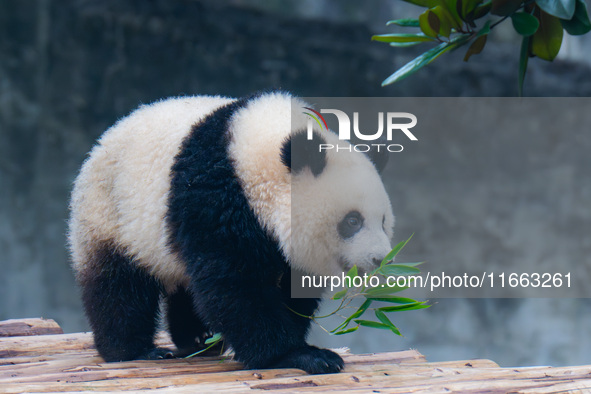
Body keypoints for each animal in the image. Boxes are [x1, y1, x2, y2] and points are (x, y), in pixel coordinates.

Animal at [68, 91, 394, 374]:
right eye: (352, 221)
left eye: (383, 221)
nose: (379, 259)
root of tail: (102, 142)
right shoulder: (214, 196)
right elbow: (234, 285)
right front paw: (299, 355)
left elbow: (291, 289)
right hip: (110, 212)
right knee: (118, 285)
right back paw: (135, 350)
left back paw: (199, 339)